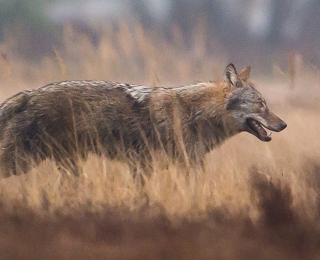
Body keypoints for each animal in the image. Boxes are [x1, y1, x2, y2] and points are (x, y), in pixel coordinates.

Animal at [0, 63, 286, 177]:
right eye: (261, 104)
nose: (283, 125)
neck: (195, 113)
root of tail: (28, 94)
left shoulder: (146, 167)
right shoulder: (177, 165)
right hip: (22, 162)